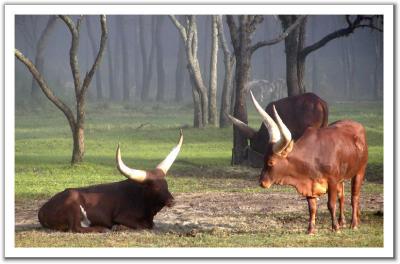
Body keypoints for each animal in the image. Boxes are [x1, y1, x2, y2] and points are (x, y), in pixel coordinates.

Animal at [36, 129, 184, 232]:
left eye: (166, 185)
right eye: (155, 187)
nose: (172, 201)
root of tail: (42, 210)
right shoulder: (121, 216)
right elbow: (142, 225)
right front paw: (118, 227)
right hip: (73, 202)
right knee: (75, 228)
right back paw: (102, 229)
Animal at [250, 92, 368, 234]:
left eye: (271, 162)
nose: (262, 182)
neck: (313, 156)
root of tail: (358, 126)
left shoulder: (332, 181)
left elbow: (331, 204)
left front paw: (335, 227)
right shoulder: (310, 183)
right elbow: (312, 207)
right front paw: (311, 229)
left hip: (360, 171)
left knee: (354, 197)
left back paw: (354, 223)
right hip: (342, 178)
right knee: (342, 196)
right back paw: (343, 221)